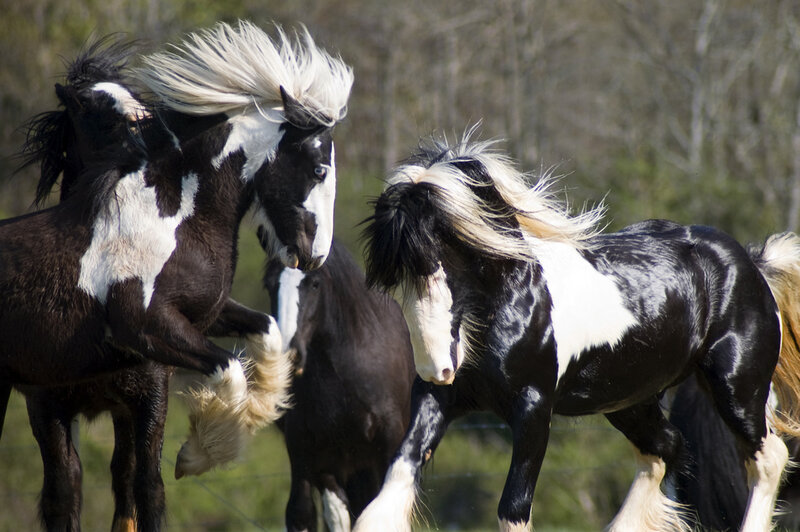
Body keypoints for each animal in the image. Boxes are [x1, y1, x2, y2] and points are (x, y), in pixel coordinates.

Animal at [2, 20, 352, 529]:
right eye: (320, 168)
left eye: (144, 109)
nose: (315, 256)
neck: (175, 218)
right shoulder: (147, 328)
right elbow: (227, 368)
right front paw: (199, 452)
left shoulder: (199, 322)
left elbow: (266, 332)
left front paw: (254, 413)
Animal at [262, 237, 415, 531]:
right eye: (269, 284)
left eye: (315, 283)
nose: (289, 353)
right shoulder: (302, 449)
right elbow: (301, 513)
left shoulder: (388, 444)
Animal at [353, 132, 800, 532]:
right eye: (396, 282)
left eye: (437, 264)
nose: (438, 369)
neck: (514, 301)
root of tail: (752, 264)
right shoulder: (438, 399)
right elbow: (394, 480)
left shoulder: (533, 407)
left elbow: (513, 507)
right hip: (629, 398)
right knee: (665, 450)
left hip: (735, 388)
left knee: (768, 458)